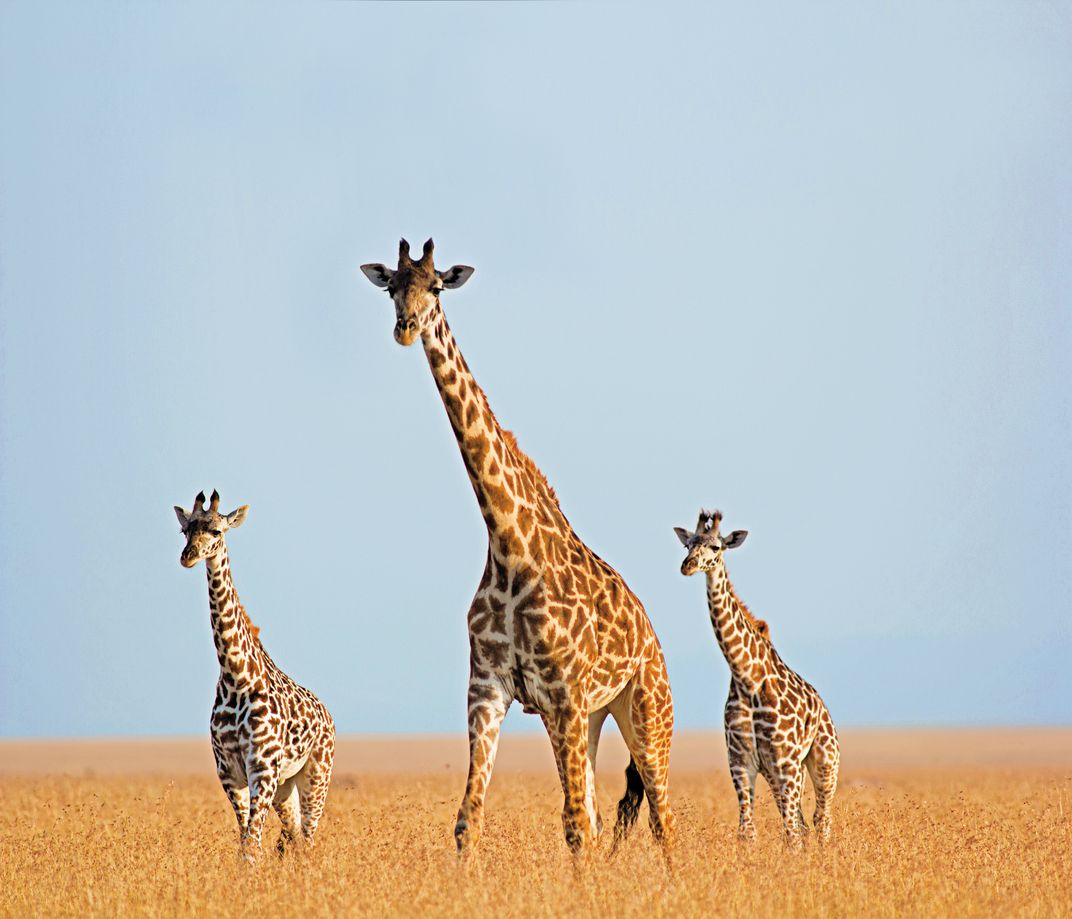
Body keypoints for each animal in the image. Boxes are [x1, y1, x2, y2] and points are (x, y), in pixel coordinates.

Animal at [174, 489, 335, 862]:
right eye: (185, 531)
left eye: (216, 531)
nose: (188, 557)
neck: (236, 674)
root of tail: (328, 715)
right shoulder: (230, 773)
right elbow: (247, 845)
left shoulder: (261, 768)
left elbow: (251, 847)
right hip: (285, 785)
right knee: (295, 836)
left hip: (316, 775)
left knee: (309, 837)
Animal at [360, 239, 676, 858]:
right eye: (392, 288)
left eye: (437, 286)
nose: (406, 328)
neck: (507, 545)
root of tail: (650, 634)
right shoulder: (489, 689)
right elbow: (469, 820)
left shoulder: (563, 692)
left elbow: (574, 824)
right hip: (596, 715)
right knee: (607, 811)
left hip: (645, 709)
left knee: (662, 817)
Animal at [674, 508, 839, 847]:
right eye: (688, 545)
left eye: (716, 547)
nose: (688, 566)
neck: (746, 676)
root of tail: (823, 707)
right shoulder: (741, 762)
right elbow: (748, 831)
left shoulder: (785, 762)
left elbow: (791, 835)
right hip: (781, 774)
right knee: (803, 821)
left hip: (823, 762)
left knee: (820, 819)